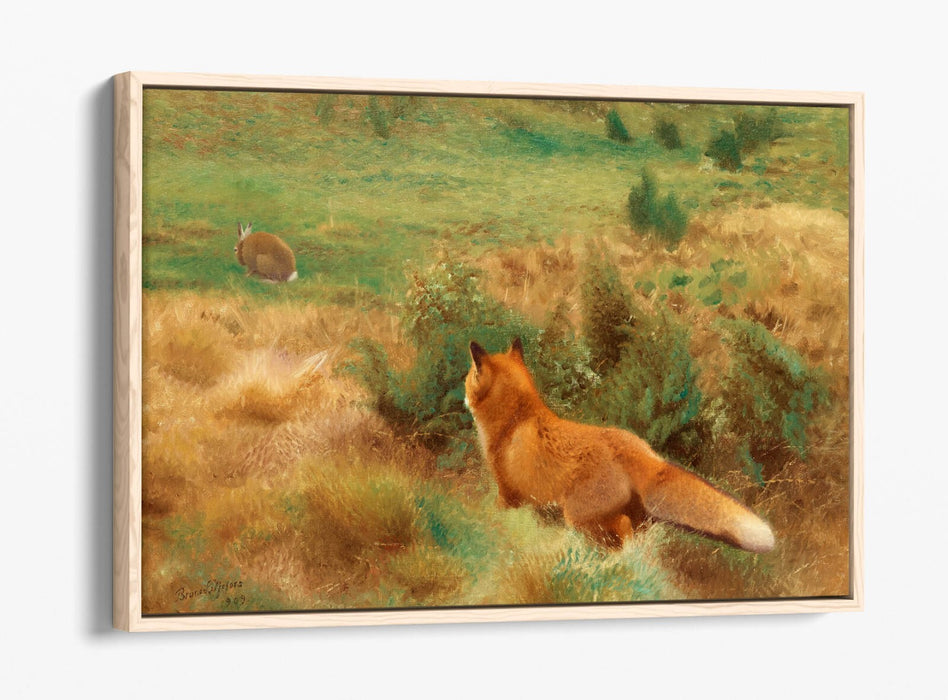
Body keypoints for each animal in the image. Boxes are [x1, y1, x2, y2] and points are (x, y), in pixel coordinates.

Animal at [464, 338, 775, 553]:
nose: (463, 395)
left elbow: (495, 515)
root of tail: (644, 454)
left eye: (468, 378)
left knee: (618, 534)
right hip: (634, 518)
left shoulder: (508, 493)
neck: (515, 419)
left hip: (579, 517)